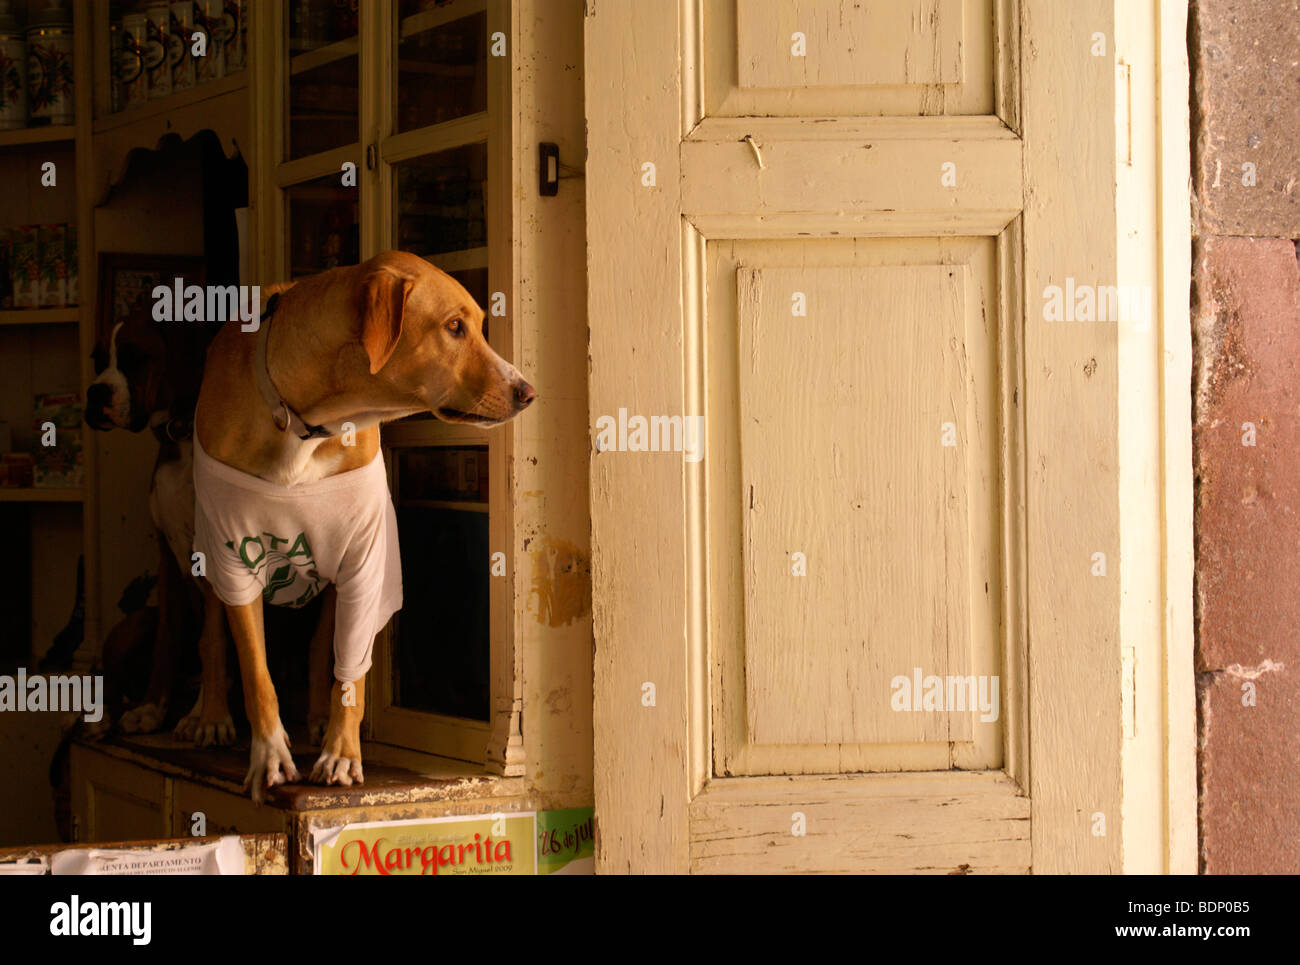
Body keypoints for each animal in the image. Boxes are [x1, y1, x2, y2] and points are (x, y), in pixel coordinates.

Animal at [191, 249, 533, 801]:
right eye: (453, 327)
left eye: (480, 325)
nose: (528, 391)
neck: (305, 423)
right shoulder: (233, 550)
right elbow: (255, 668)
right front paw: (269, 754)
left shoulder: (365, 557)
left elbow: (350, 665)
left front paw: (341, 752)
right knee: (212, 633)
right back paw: (212, 718)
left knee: (321, 646)